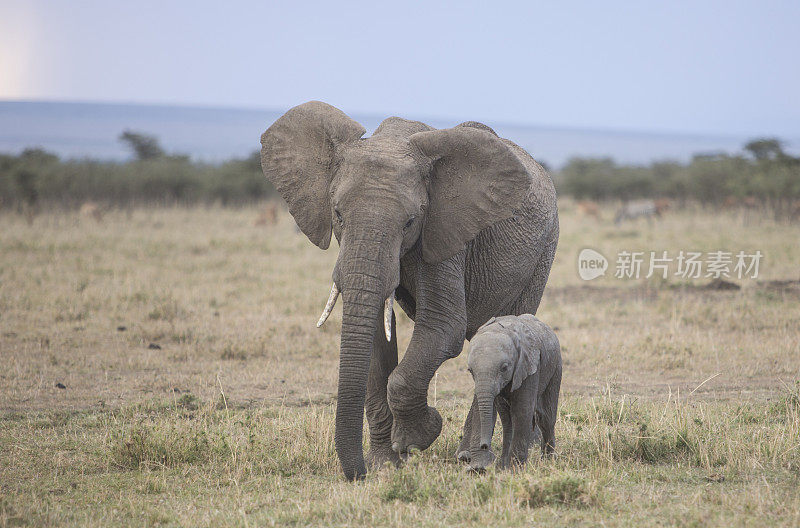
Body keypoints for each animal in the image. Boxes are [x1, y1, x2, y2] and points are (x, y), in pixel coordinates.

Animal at [456, 314, 564, 470]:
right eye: (470, 371)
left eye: (504, 368)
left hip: (555, 366)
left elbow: (522, 410)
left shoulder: (529, 367)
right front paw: (498, 468)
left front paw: (515, 469)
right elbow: (501, 414)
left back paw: (548, 461)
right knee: (511, 418)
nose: (484, 445)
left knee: (546, 417)